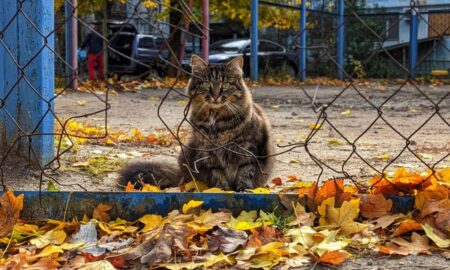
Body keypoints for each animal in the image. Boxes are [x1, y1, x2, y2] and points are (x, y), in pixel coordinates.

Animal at [118, 54, 274, 191]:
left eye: (225, 84)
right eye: (206, 83)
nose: (215, 96)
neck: (217, 121)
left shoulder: (248, 150)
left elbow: (245, 173)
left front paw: (244, 190)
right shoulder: (209, 153)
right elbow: (218, 175)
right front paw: (222, 190)